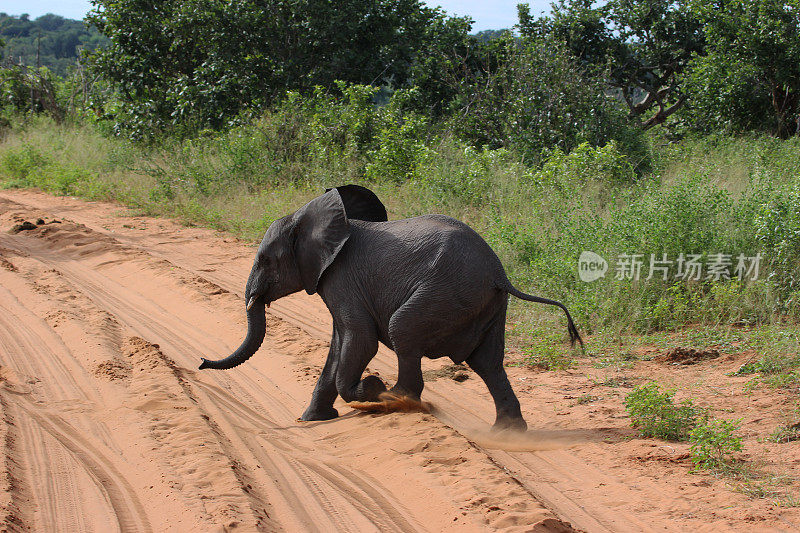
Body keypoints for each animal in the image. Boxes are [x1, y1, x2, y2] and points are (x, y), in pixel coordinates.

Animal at [197, 185, 580, 430]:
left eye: (264, 260)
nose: (200, 362)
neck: (309, 218)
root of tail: (500, 274)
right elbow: (339, 344)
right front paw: (311, 420)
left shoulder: (342, 278)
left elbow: (359, 340)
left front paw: (370, 389)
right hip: (485, 305)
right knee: (487, 362)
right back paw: (507, 432)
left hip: (447, 292)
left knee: (404, 329)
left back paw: (396, 399)